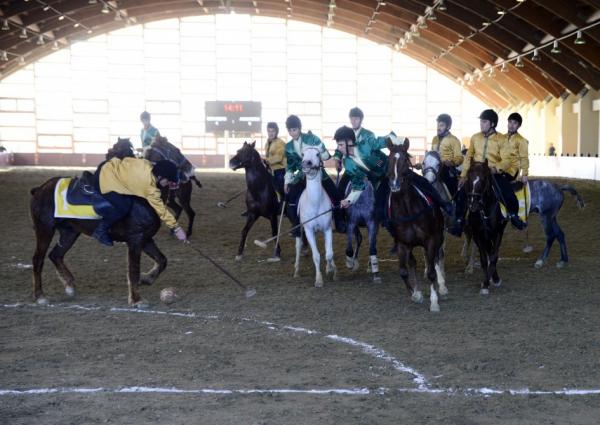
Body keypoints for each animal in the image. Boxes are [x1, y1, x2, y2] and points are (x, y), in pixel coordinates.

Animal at [31, 139, 170, 308]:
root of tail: (40, 189)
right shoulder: (135, 239)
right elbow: (133, 270)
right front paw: (137, 300)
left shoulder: (146, 238)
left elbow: (162, 260)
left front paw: (146, 279)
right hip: (44, 229)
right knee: (38, 260)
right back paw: (40, 296)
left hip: (70, 232)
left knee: (55, 255)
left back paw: (70, 286)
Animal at [296, 147, 338, 288]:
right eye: (303, 154)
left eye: (318, 154)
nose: (306, 163)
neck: (315, 203)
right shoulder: (309, 231)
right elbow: (316, 256)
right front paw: (319, 280)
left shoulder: (327, 228)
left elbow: (329, 253)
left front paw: (330, 269)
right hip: (300, 230)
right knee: (298, 246)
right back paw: (296, 271)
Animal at [386, 137, 448, 312]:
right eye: (389, 159)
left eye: (405, 162)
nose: (395, 184)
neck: (408, 210)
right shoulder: (402, 243)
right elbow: (403, 271)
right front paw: (416, 294)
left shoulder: (432, 239)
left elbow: (433, 270)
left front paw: (434, 301)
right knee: (413, 263)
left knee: (436, 258)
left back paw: (441, 286)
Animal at [464, 160, 506, 294]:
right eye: (469, 178)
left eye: (483, 179)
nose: (472, 204)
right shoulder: (478, 234)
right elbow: (484, 259)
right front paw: (485, 283)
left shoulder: (498, 233)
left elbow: (493, 257)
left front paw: (491, 281)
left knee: (492, 253)